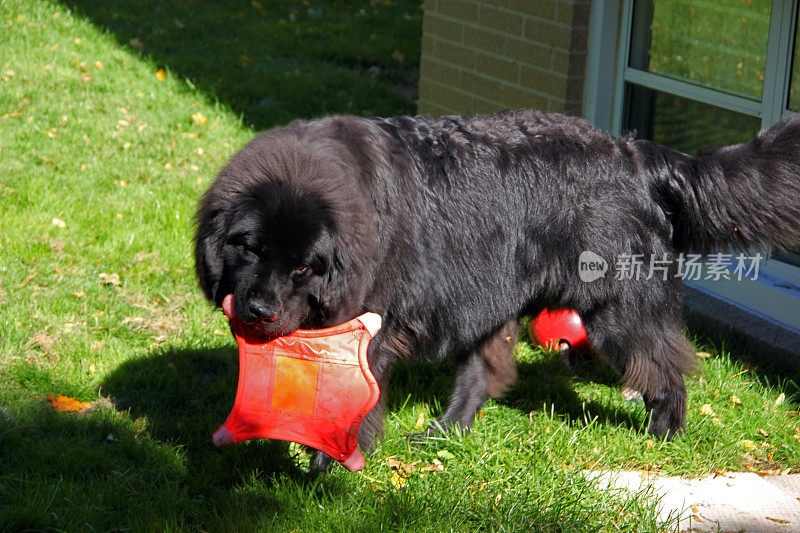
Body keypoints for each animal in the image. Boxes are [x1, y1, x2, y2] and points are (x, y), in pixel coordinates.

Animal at [195, 109, 800, 470]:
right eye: (249, 249)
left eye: (304, 268)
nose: (259, 309)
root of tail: (639, 156)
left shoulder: (372, 331)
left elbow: (350, 405)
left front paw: (327, 467)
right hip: (487, 295)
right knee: (481, 375)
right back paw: (442, 433)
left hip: (616, 307)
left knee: (662, 361)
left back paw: (665, 433)